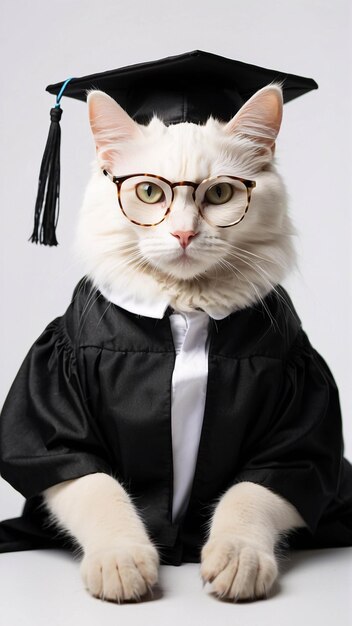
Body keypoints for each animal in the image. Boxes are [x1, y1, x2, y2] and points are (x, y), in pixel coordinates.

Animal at [42, 85, 306, 604]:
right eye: (149, 192)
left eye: (220, 193)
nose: (184, 233)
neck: (186, 308)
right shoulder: (59, 414)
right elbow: (97, 486)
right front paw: (121, 562)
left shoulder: (295, 419)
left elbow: (252, 493)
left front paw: (238, 559)